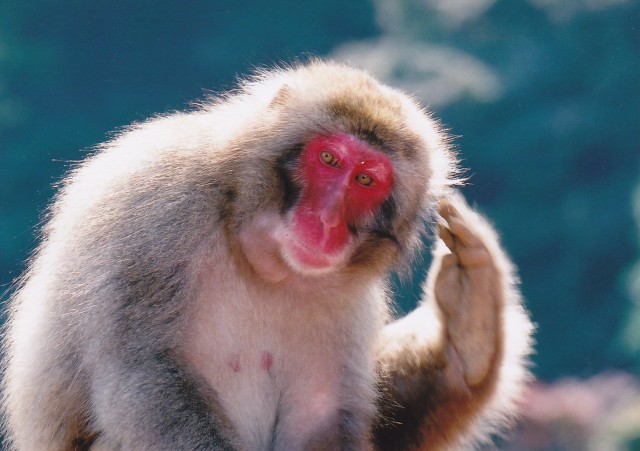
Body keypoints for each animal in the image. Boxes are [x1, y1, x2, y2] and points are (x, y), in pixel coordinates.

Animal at [1, 61, 536, 451]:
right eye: (329, 160)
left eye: (366, 180)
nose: (326, 222)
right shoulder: (152, 212)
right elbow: (145, 375)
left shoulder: (343, 302)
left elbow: (321, 417)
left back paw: (472, 335)